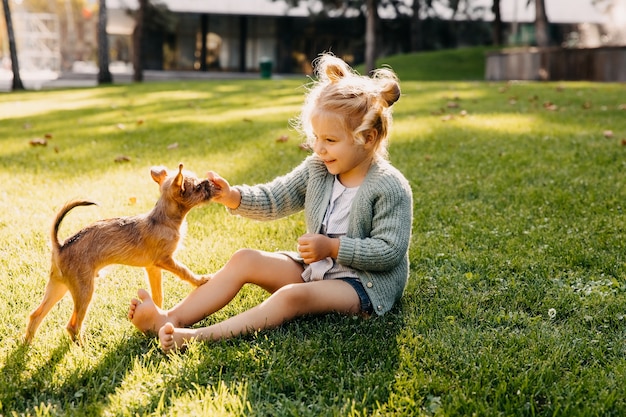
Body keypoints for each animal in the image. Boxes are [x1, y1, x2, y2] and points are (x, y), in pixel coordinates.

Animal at [25, 164, 212, 342]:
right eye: (198, 187)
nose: (209, 182)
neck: (163, 220)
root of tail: (61, 245)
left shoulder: (153, 269)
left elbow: (158, 295)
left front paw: (156, 312)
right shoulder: (165, 260)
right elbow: (184, 271)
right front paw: (200, 280)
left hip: (59, 287)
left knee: (35, 315)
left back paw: (26, 344)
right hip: (84, 291)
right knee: (73, 325)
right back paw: (82, 347)